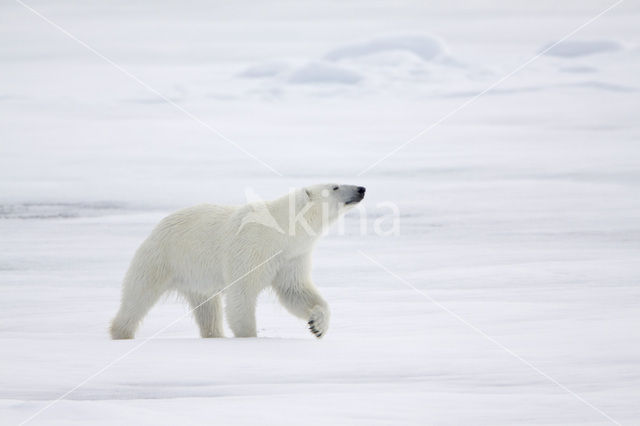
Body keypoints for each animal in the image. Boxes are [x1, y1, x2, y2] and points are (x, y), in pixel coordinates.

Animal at [110, 183, 364, 340]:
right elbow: (241, 294)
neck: (282, 231)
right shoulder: (250, 248)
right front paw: (249, 336)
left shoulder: (291, 256)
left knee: (208, 309)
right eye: (335, 186)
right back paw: (121, 332)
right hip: (164, 257)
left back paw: (214, 334)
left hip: (197, 278)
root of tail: (159, 224)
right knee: (138, 296)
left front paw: (317, 325)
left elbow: (295, 290)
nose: (361, 189)